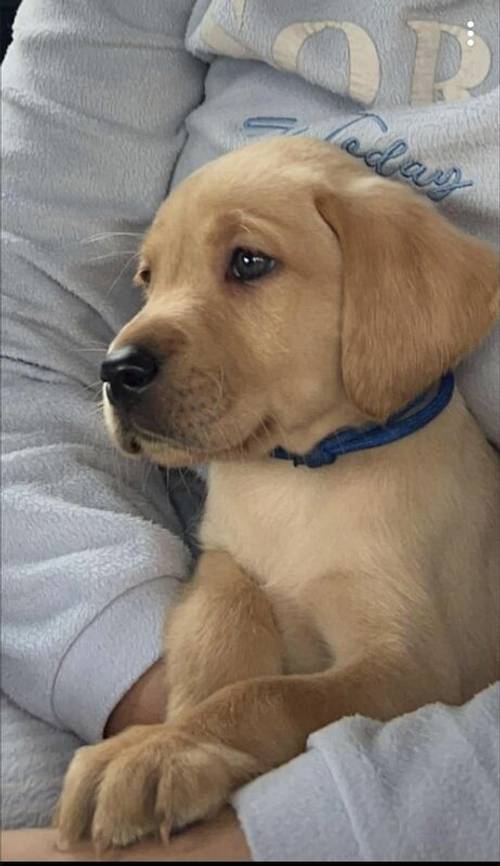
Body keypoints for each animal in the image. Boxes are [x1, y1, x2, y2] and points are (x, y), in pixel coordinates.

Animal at [56, 138, 498, 848]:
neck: (299, 476)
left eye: (249, 261)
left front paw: (164, 750)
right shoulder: (222, 556)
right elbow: (221, 617)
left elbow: (273, 694)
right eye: (148, 279)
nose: (114, 370)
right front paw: (174, 728)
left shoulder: (414, 668)